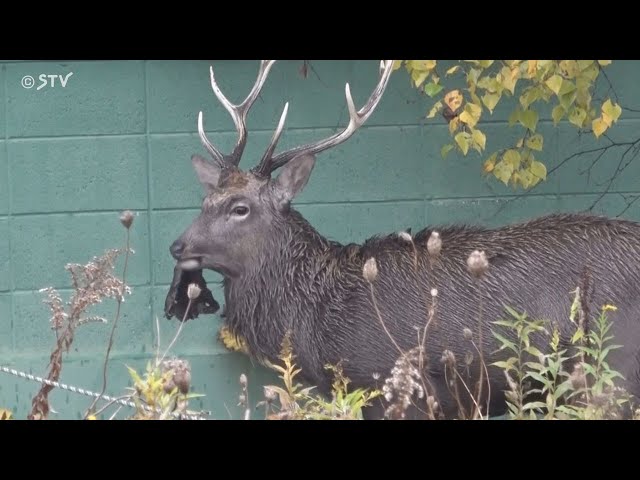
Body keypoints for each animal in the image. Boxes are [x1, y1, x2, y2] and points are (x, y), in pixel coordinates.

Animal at [164, 59, 640, 420]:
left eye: (240, 207)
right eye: (206, 199)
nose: (177, 245)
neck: (318, 323)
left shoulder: (396, 385)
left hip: (612, 373)